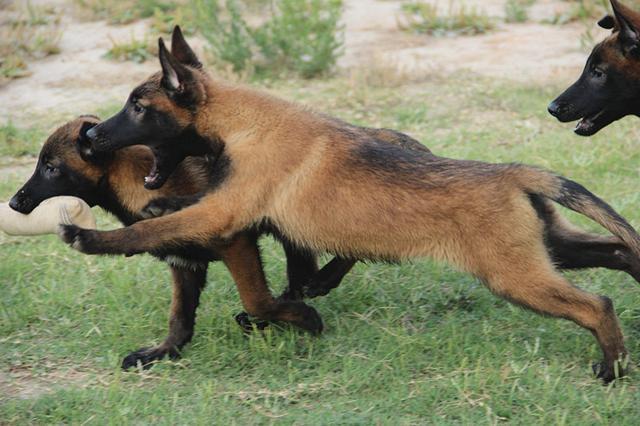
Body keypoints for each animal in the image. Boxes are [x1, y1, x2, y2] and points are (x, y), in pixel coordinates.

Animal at [63, 28, 640, 382]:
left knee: (597, 305)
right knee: (618, 253)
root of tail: (515, 172)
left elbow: (150, 231)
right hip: (551, 250)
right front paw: (159, 207)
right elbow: (183, 208)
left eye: (138, 108)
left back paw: (613, 369)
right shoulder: (228, 204)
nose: (91, 135)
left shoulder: (224, 213)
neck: (243, 122)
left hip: (516, 276)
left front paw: (91, 237)